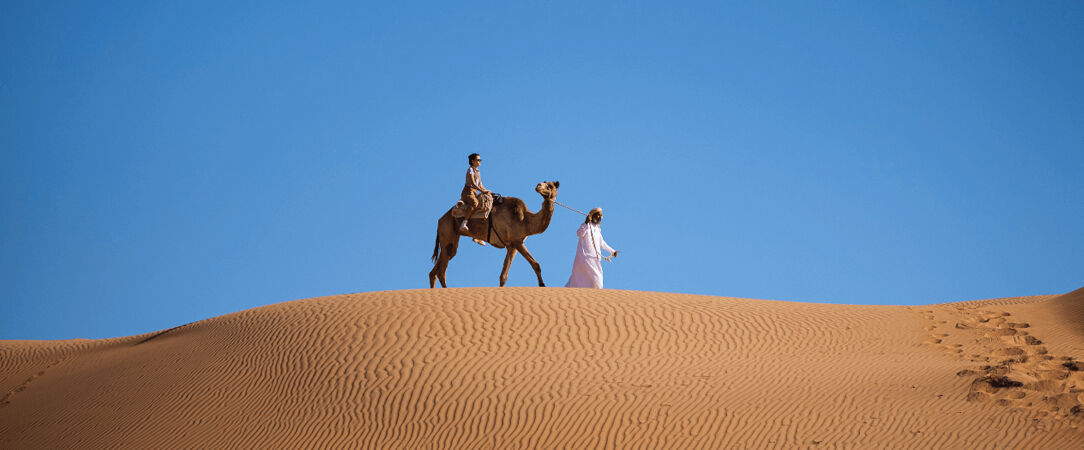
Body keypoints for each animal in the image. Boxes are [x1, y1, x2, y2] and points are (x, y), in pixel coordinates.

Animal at [429, 181, 559, 288]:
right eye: (545, 183)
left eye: (551, 185)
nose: (538, 186)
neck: (525, 220)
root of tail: (440, 220)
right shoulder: (517, 241)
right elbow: (536, 264)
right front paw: (542, 285)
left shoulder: (512, 246)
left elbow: (503, 276)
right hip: (447, 233)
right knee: (441, 272)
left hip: (450, 238)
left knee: (434, 271)